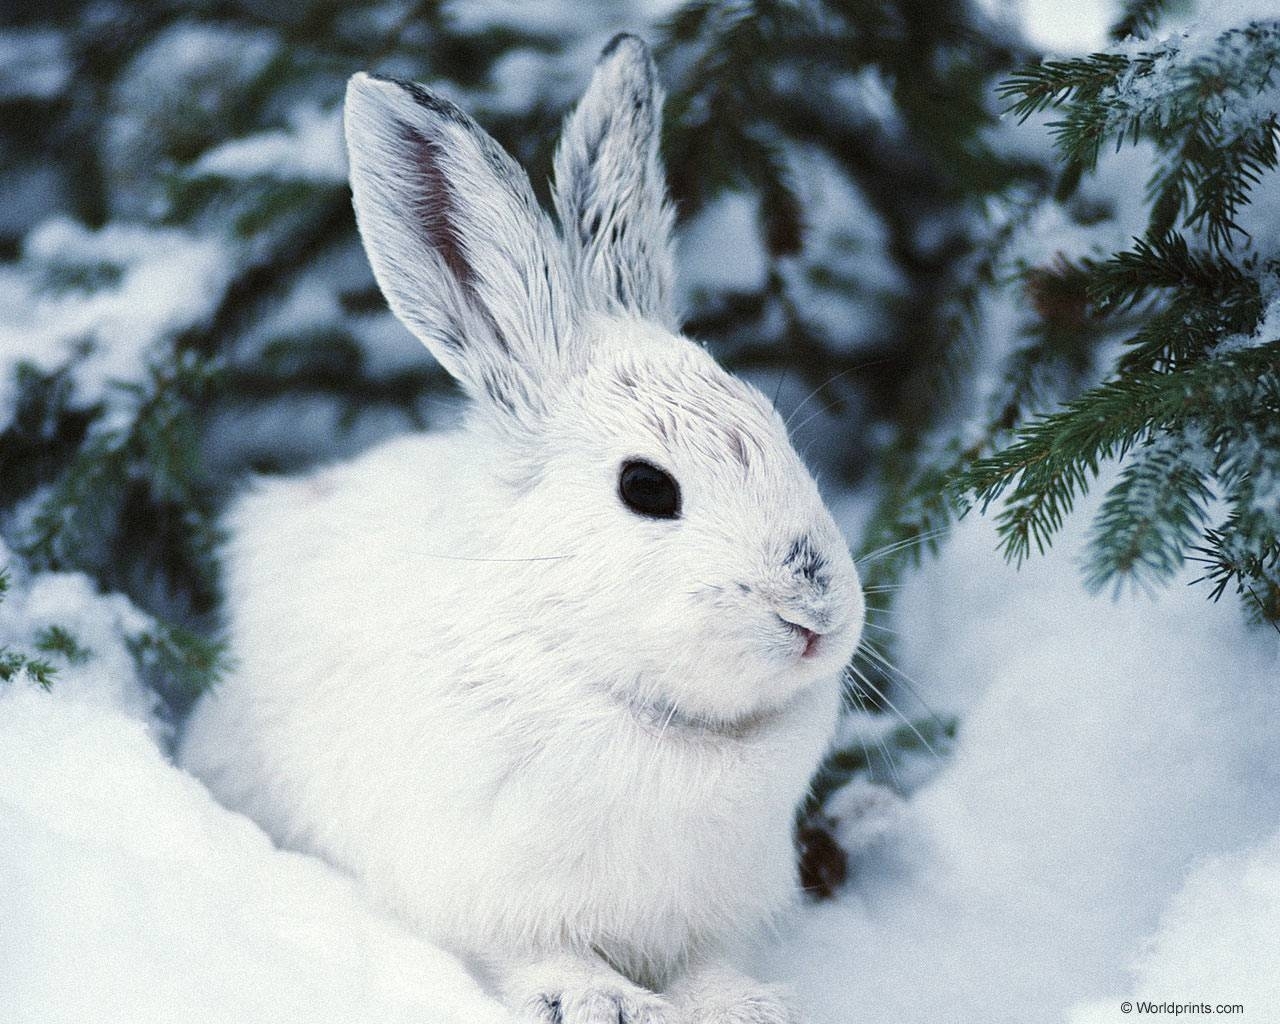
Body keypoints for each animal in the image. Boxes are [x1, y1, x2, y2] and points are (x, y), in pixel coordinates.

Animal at [179, 34, 864, 1024]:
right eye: (647, 488)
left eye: (779, 433)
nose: (816, 615)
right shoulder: (489, 890)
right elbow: (539, 953)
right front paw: (603, 1003)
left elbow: (708, 963)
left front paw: (743, 1005)